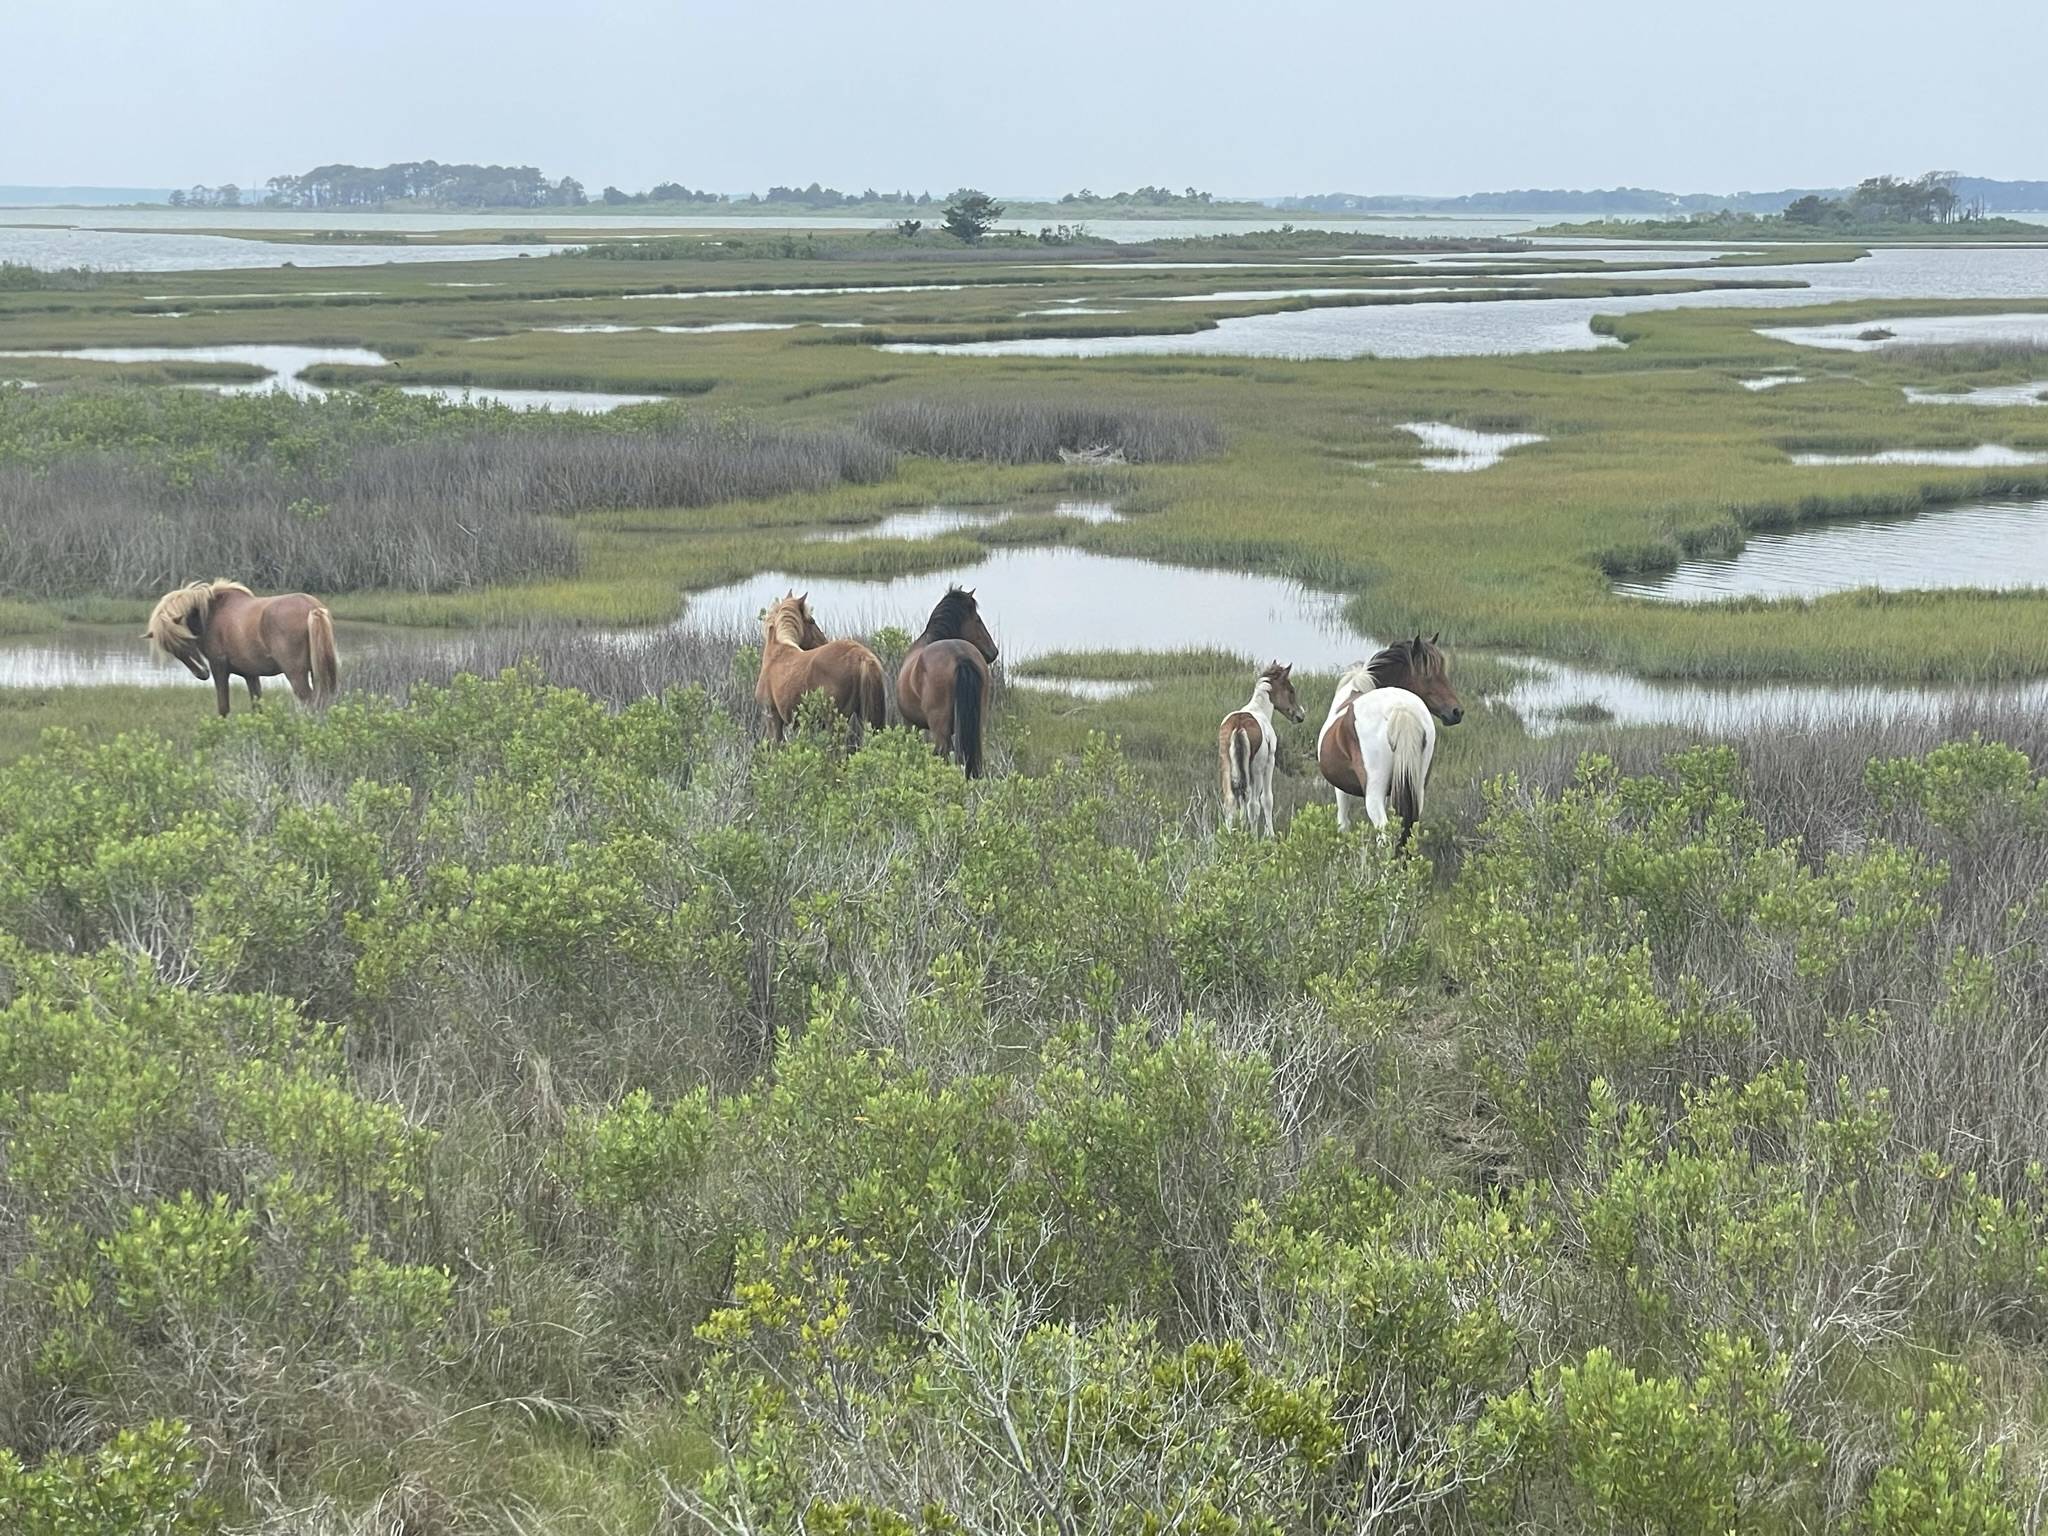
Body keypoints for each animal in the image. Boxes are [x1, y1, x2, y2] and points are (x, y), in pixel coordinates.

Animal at [143, 580, 339, 717]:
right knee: (321, 700)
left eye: (185, 640)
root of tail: (313, 609)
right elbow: (257, 707)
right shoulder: (251, 674)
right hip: (316, 670)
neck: (211, 613)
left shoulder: (219, 667)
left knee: (308, 701)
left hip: (296, 672)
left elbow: (223, 707)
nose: (202, 674)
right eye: (171, 649)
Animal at [896, 587, 999, 778]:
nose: (994, 652)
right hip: (977, 724)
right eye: (978, 620)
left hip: (939, 728)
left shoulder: (910, 724)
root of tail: (960, 655)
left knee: (942, 752)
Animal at [1217, 660, 1304, 836]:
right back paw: (1254, 837)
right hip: (1256, 769)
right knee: (1254, 804)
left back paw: (1229, 836)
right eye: (1291, 690)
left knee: (1231, 801)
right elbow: (1267, 799)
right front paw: (1270, 835)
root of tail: (1239, 726)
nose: (1300, 716)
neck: (1259, 709)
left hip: (1227, 765)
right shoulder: (1270, 762)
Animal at [1317, 633, 1463, 841]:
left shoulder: (1341, 791)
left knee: (1384, 832)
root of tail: (1400, 708)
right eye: (1428, 675)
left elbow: (1343, 824)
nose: (1456, 712)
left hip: (1374, 793)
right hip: (1417, 788)